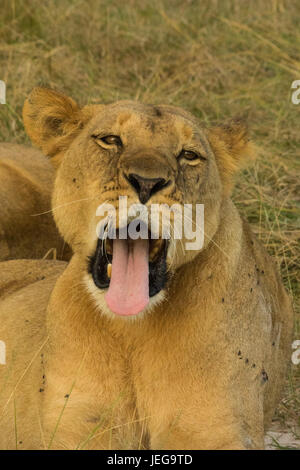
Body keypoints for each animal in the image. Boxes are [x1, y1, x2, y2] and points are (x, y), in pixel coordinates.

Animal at [0, 86, 292, 450]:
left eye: (189, 155)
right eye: (111, 140)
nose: (146, 182)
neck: (132, 332)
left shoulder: (215, 426)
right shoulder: (79, 420)